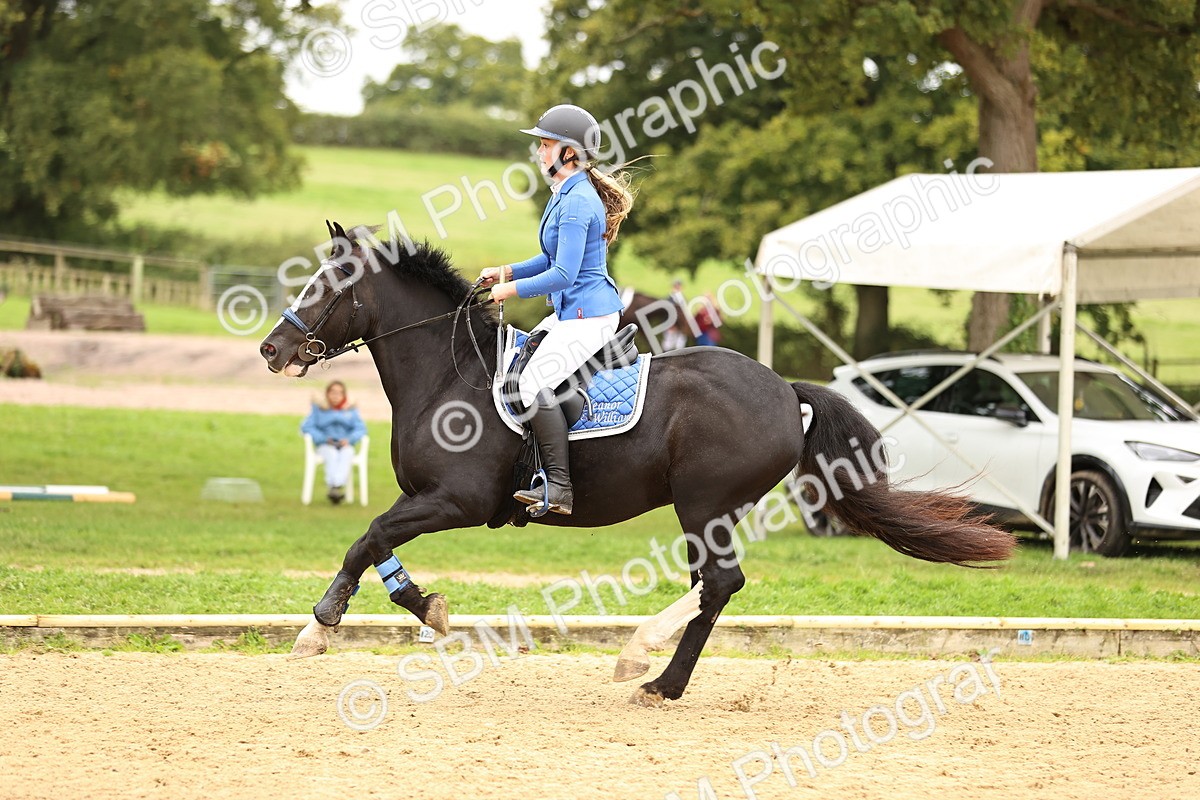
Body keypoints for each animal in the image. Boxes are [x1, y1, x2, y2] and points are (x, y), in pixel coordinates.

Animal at [258, 222, 1016, 707]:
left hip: (704, 503)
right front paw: (410, 609)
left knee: (720, 582)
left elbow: (368, 537)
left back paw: (643, 662)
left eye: (329, 282)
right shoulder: (425, 498)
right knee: (711, 587)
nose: (271, 350)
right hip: (706, 512)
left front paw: (323, 626)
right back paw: (659, 678)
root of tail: (783, 388)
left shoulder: (458, 501)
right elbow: (376, 543)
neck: (450, 375)